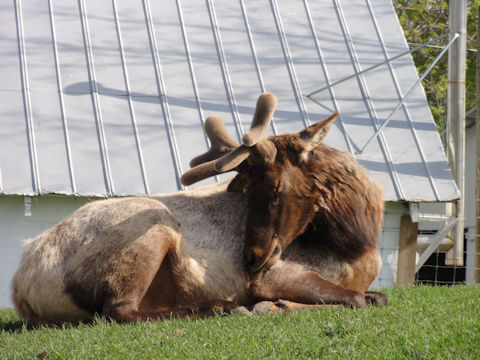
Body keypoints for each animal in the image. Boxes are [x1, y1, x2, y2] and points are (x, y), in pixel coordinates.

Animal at [11, 93, 386, 326]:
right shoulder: (275, 274)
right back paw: (223, 307)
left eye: (276, 188)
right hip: (154, 223)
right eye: (249, 191)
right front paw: (273, 305)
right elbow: (356, 299)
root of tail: (21, 286)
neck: (358, 242)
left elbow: (376, 297)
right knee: (118, 311)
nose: (251, 258)